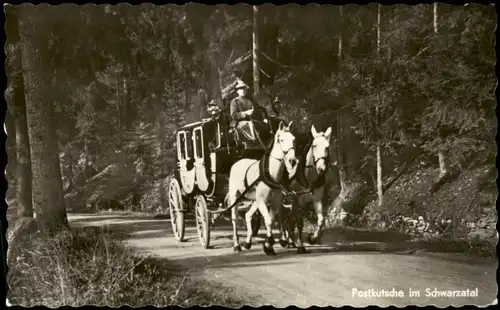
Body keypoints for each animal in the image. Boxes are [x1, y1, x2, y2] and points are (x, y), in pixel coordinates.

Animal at [229, 120, 298, 254]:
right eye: (281, 139)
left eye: (294, 139)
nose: (292, 161)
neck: (270, 174)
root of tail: (236, 163)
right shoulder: (262, 201)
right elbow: (268, 220)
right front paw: (269, 243)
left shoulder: (275, 201)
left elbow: (272, 219)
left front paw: (270, 244)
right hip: (235, 196)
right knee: (234, 219)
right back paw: (236, 245)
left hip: (254, 200)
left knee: (248, 215)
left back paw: (247, 242)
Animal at [280, 124, 330, 253]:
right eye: (314, 145)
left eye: (327, 146)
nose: (321, 168)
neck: (309, 177)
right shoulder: (299, 201)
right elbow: (300, 223)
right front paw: (301, 246)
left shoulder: (316, 199)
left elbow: (321, 220)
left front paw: (312, 238)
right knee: (281, 216)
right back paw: (284, 239)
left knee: (289, 218)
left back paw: (290, 241)